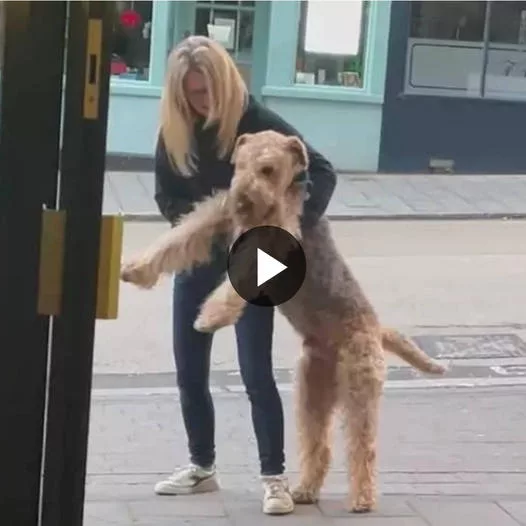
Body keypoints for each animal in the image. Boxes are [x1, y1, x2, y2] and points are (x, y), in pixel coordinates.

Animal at [121, 131, 448, 516]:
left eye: (267, 168)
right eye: (239, 164)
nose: (240, 201)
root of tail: (376, 328)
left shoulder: (271, 246)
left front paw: (209, 316)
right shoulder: (215, 214)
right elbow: (178, 237)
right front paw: (135, 269)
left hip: (359, 389)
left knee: (362, 448)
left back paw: (361, 500)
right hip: (311, 391)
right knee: (319, 446)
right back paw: (305, 490)